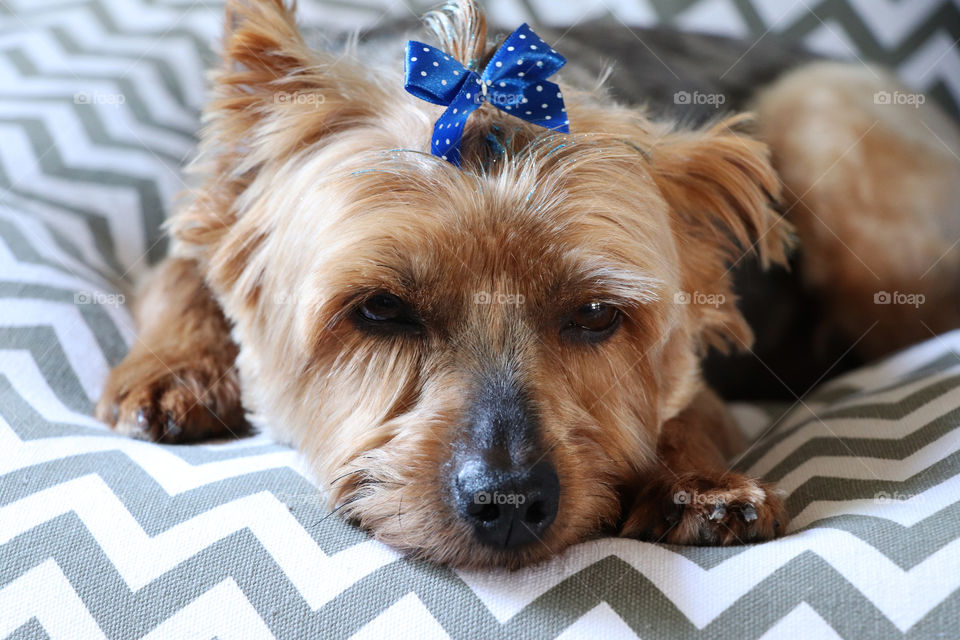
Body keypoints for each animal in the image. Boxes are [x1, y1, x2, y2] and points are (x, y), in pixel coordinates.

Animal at [95, 0, 960, 568]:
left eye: (597, 314)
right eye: (380, 308)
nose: (509, 507)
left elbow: (688, 407)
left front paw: (699, 483)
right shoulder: (208, 218)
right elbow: (179, 277)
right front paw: (175, 368)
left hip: (824, 121)